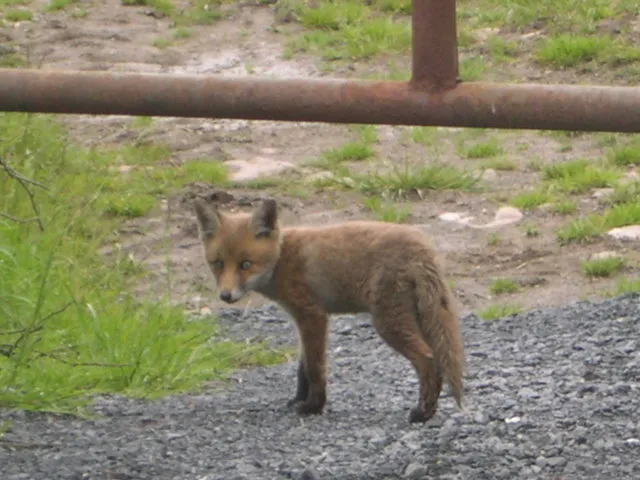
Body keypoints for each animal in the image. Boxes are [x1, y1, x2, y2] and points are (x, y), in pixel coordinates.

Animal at [193, 197, 465, 423]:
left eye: (245, 264)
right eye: (218, 264)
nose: (226, 296)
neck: (282, 258)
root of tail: (422, 247)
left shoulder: (312, 315)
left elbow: (315, 367)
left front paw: (313, 406)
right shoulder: (303, 320)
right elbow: (302, 367)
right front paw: (299, 400)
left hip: (388, 323)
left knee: (428, 359)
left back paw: (423, 413)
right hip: (418, 317)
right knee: (438, 359)